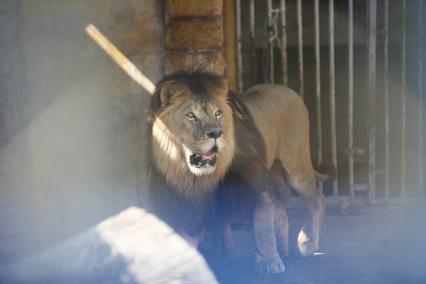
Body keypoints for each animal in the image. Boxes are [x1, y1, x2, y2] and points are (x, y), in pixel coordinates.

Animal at [146, 71, 322, 272]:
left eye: (218, 113)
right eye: (190, 115)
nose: (216, 133)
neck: (198, 177)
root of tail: (287, 89)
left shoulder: (255, 180)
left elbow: (262, 225)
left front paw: (268, 262)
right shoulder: (183, 199)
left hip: (295, 164)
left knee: (316, 198)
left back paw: (307, 243)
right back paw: (284, 248)